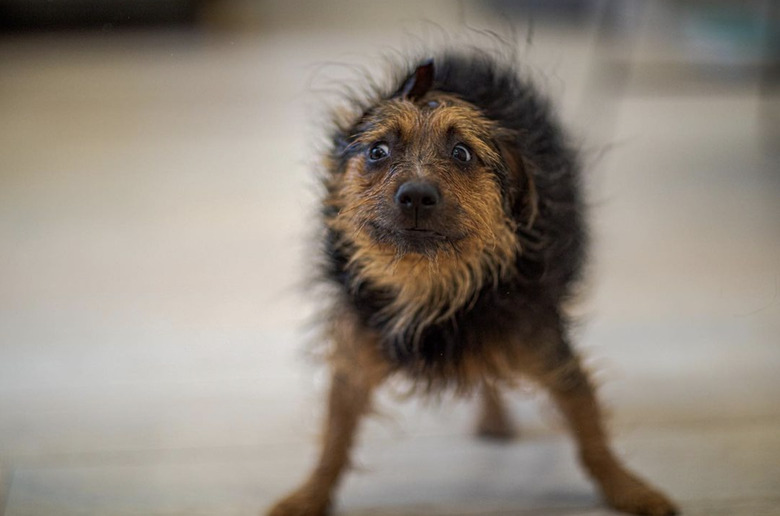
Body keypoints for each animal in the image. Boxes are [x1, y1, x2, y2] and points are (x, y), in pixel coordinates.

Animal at [266, 53, 676, 516]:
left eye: (462, 153)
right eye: (377, 151)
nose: (416, 195)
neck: (429, 281)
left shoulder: (542, 344)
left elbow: (589, 425)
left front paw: (628, 488)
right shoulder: (356, 351)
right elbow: (335, 434)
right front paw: (309, 494)